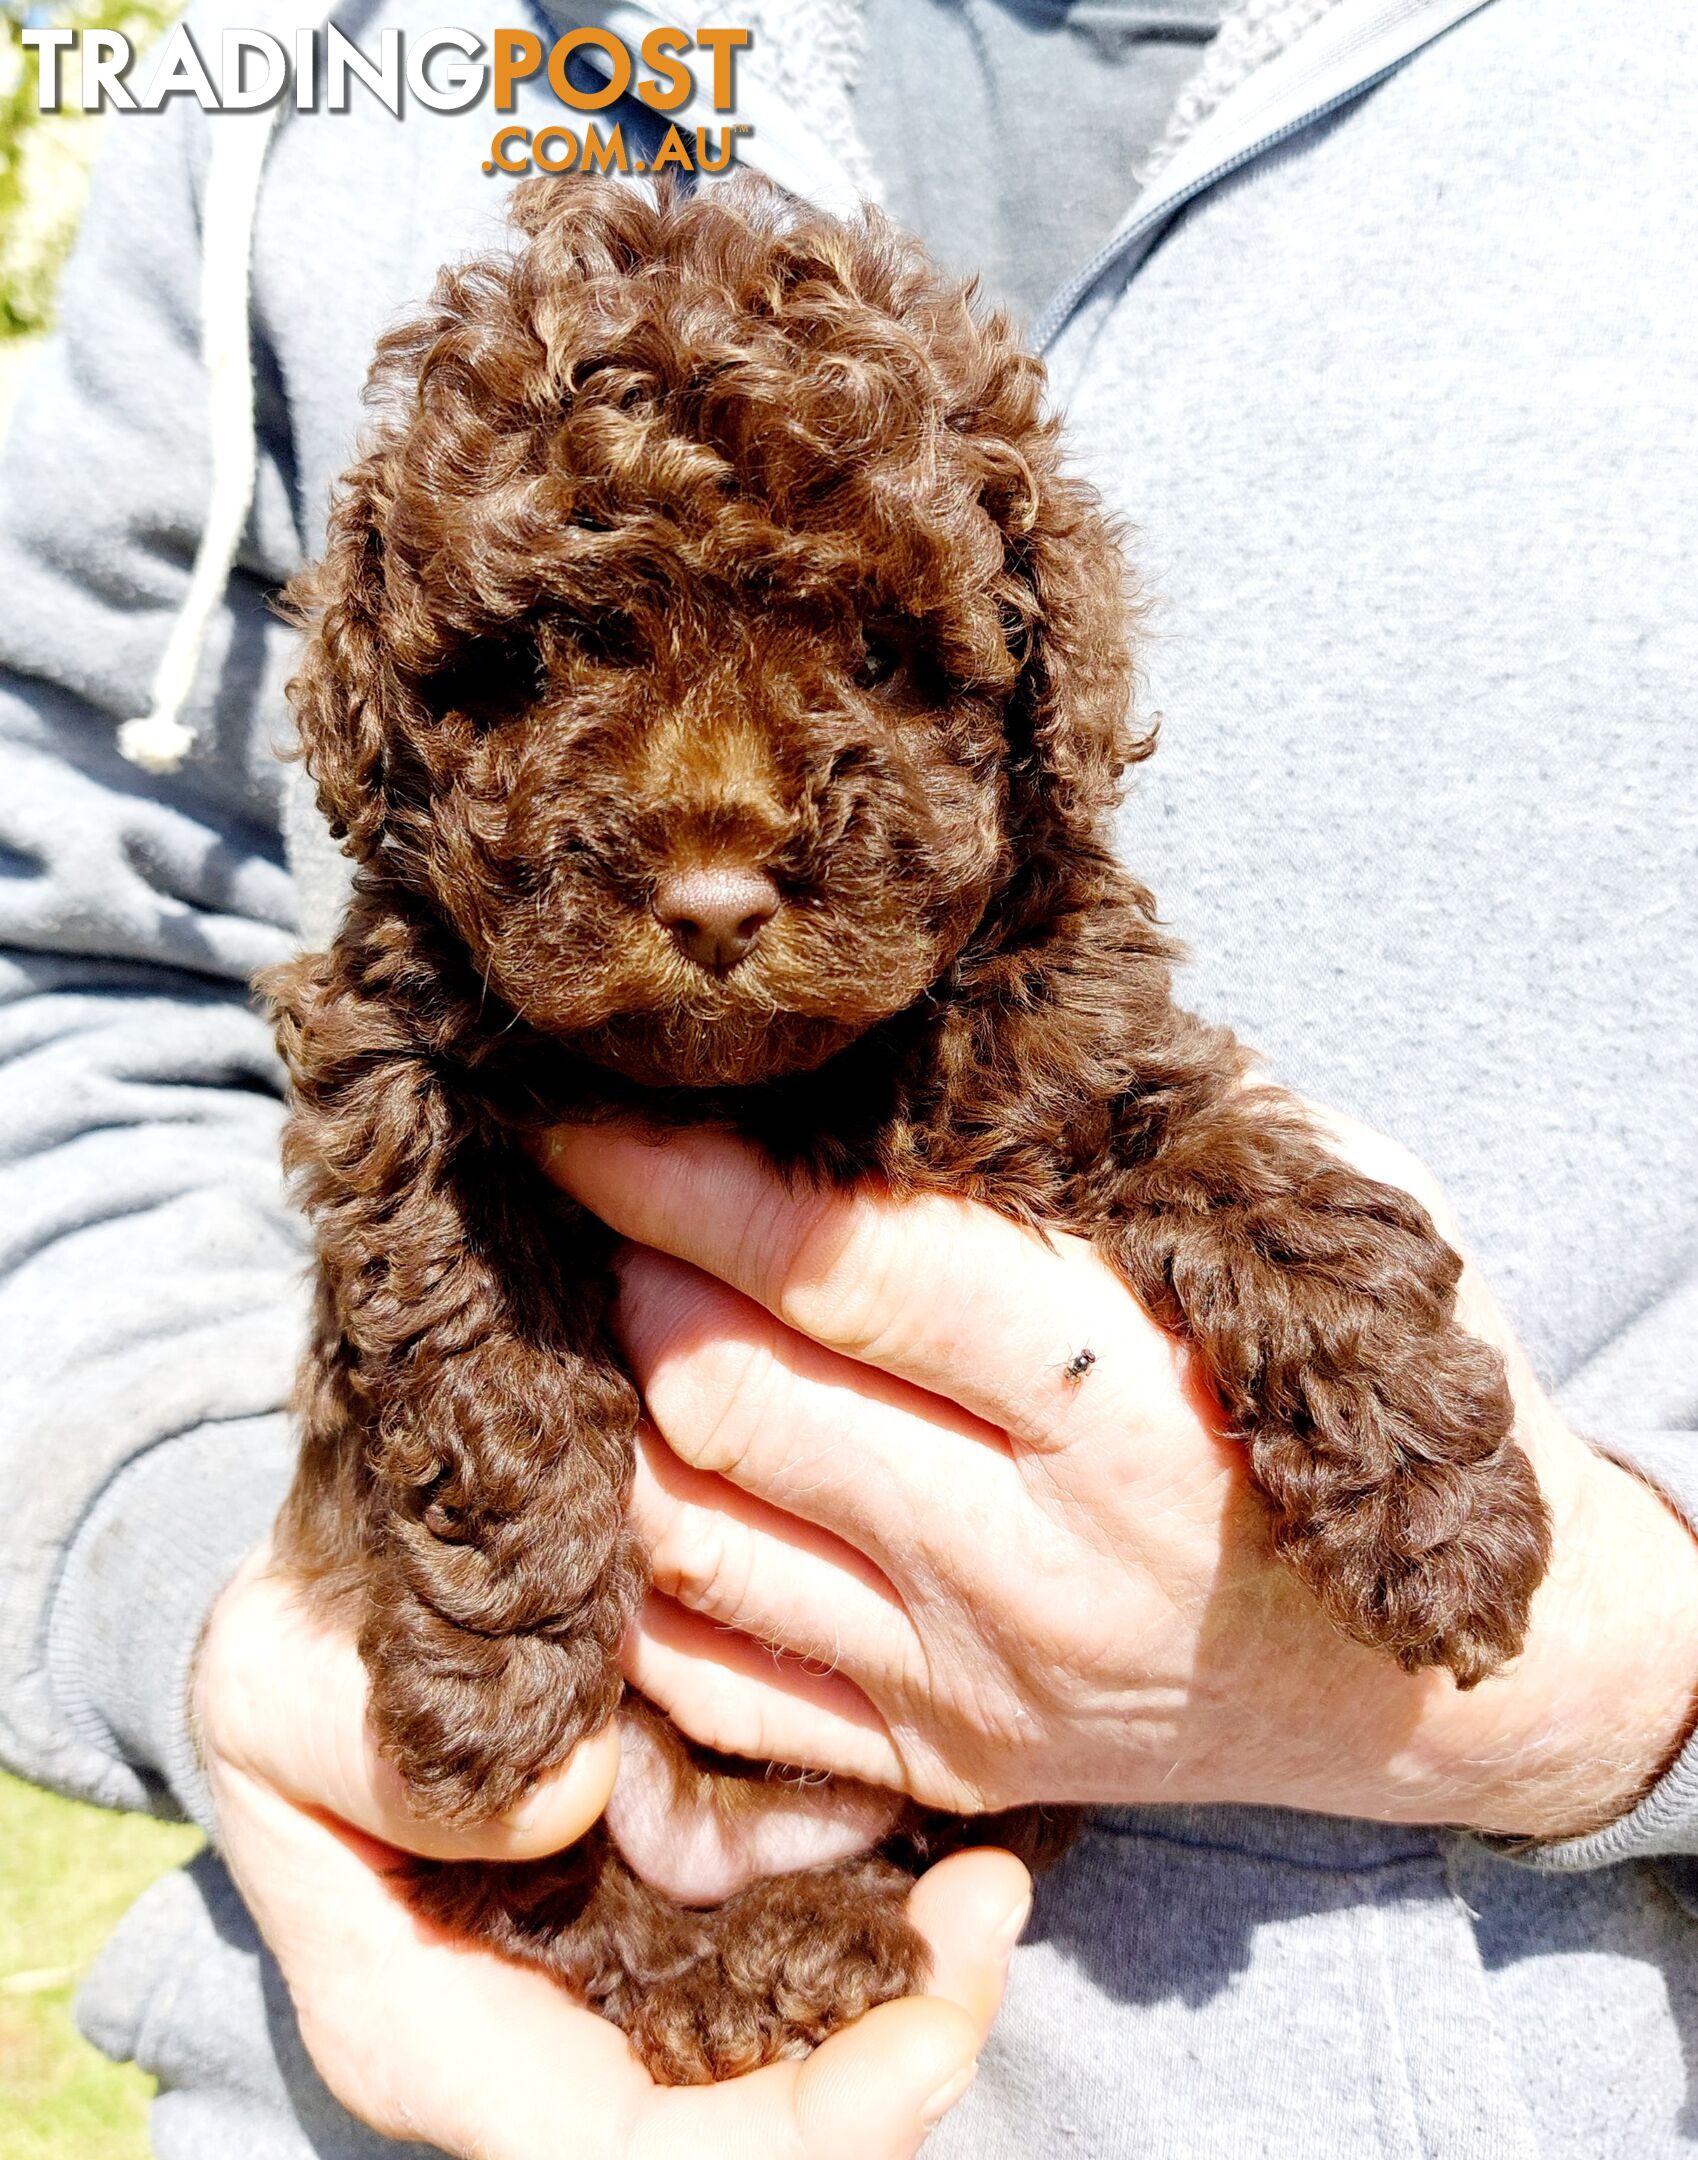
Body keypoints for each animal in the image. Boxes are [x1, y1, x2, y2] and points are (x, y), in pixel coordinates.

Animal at [264, 177, 1546, 2082]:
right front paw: (491, 1673)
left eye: (875, 652)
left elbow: (1268, 1184)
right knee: (561, 1905)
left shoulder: (1070, 1048)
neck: (759, 1076)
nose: (714, 899)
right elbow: (478, 1342)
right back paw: (751, 1960)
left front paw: (1436, 1511)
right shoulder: (397, 1068)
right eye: (549, 654)